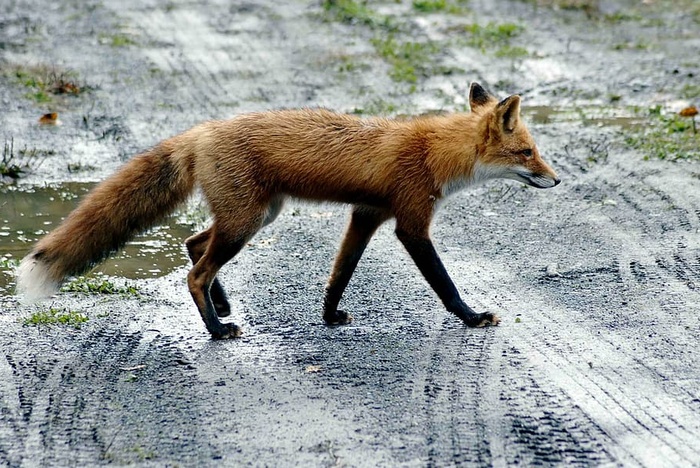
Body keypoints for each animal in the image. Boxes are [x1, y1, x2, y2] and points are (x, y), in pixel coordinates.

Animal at [16, 83, 560, 340]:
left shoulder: (365, 214)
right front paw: (472, 317)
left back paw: (222, 306)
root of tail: (202, 131)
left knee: (193, 245)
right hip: (247, 222)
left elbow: (340, 272)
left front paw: (329, 316)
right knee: (195, 271)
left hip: (256, 215)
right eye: (528, 153)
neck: (434, 152)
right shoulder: (410, 223)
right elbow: (444, 284)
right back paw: (217, 329)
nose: (558, 180)